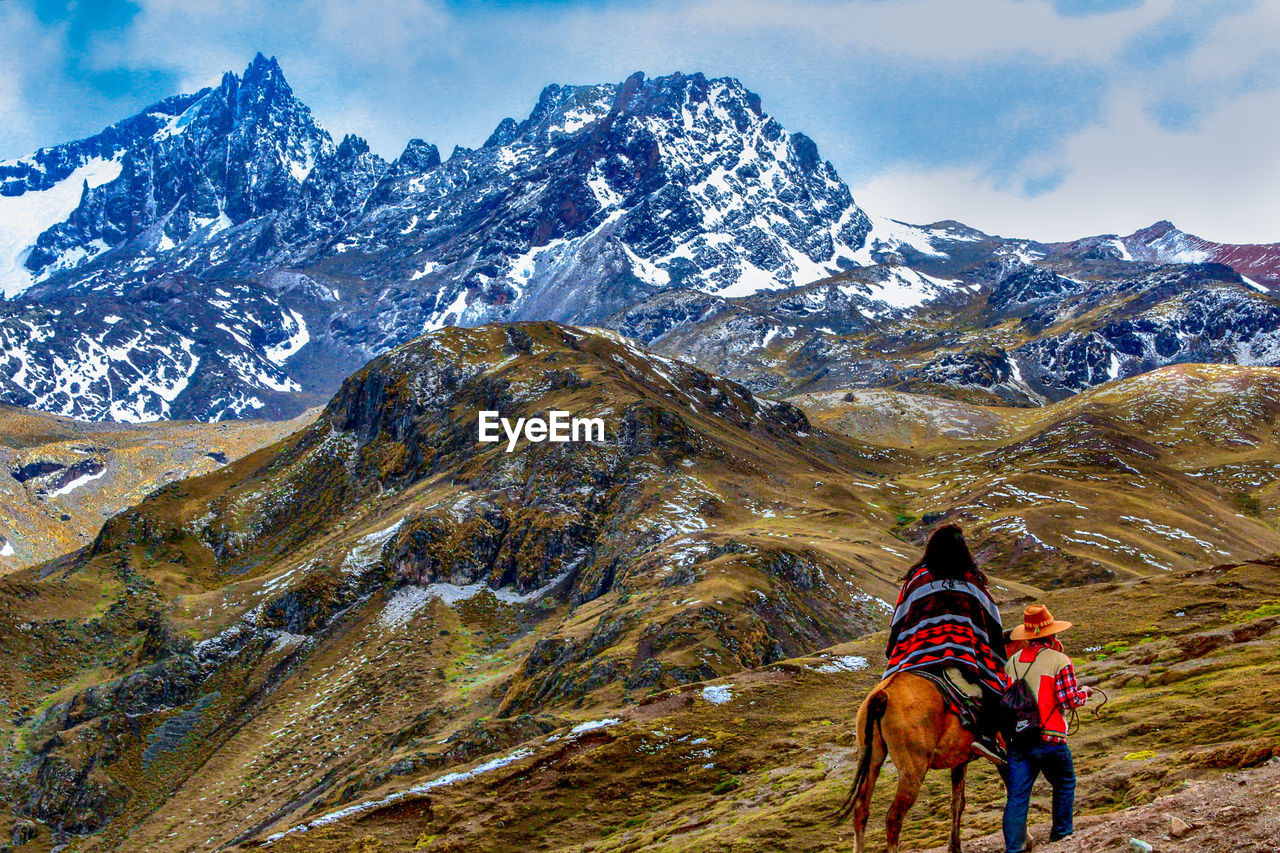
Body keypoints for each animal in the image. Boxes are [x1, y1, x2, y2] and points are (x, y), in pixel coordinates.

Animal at [839, 671, 977, 850]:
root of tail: (882, 694)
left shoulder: (959, 761)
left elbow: (957, 803)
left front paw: (954, 846)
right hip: (913, 770)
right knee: (893, 817)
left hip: (871, 761)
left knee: (860, 810)